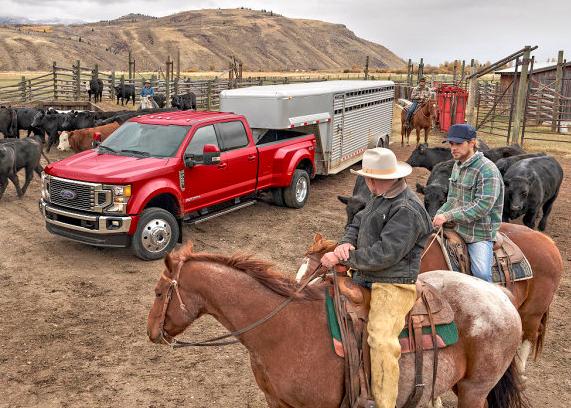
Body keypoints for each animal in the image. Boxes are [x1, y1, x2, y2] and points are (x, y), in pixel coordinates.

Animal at [147, 242, 528, 408]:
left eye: (159, 291)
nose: (152, 332)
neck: (281, 329)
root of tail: (500, 295)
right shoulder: (277, 403)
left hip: (475, 390)